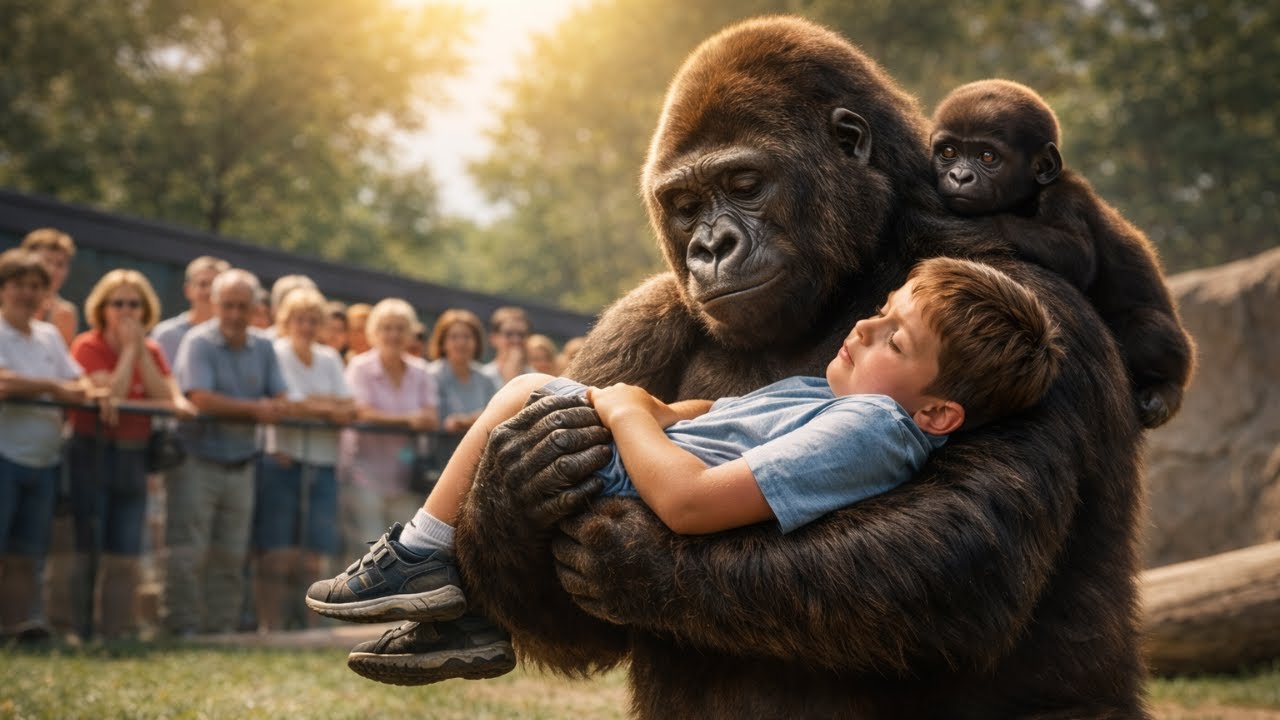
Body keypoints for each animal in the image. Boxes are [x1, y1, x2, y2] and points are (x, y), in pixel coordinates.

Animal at [931, 78, 1195, 428]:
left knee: (1147, 331)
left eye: (987, 157)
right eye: (948, 152)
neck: (1030, 194)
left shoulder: (1065, 195)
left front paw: (984, 224)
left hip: (1182, 354)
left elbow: (1077, 256)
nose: (960, 177)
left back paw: (1167, 390)